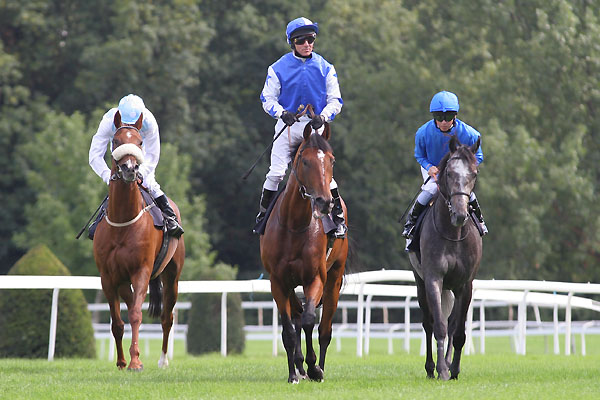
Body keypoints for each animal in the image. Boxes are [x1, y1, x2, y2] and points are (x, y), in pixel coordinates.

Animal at [91, 111, 184, 370]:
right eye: (116, 141)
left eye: (140, 142)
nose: (130, 168)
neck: (123, 221)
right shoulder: (107, 277)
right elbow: (117, 322)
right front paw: (123, 361)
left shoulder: (141, 270)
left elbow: (134, 314)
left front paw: (134, 362)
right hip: (123, 281)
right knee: (133, 302)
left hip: (172, 275)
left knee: (166, 317)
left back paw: (162, 360)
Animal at [260, 122, 350, 384]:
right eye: (305, 160)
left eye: (331, 160)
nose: (325, 202)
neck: (294, 225)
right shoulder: (278, 281)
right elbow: (289, 329)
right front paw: (294, 373)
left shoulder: (315, 277)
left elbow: (311, 320)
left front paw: (314, 368)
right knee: (297, 315)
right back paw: (299, 367)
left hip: (334, 278)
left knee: (324, 329)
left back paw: (318, 367)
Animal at [408, 135, 482, 382]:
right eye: (449, 173)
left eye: (474, 173)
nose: (460, 214)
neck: (453, 233)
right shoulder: (433, 278)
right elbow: (437, 325)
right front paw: (440, 369)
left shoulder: (465, 284)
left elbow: (457, 331)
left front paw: (454, 368)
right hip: (420, 282)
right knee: (428, 323)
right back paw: (431, 368)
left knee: (451, 325)